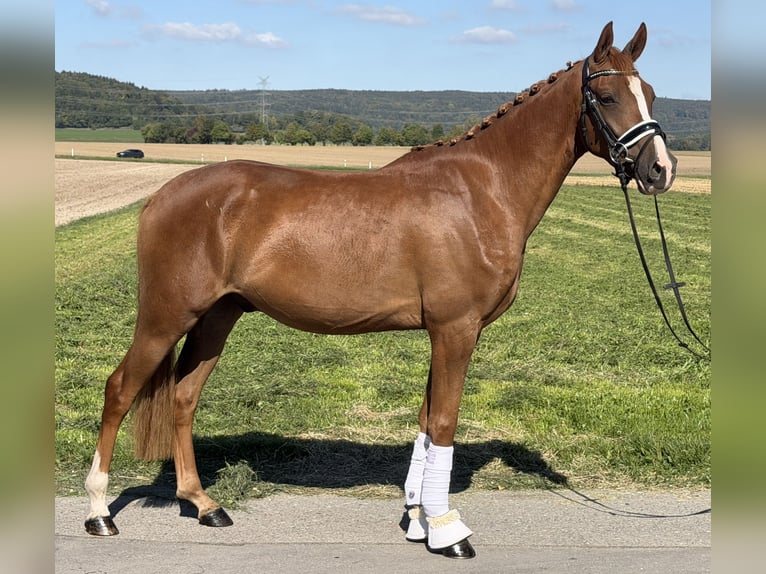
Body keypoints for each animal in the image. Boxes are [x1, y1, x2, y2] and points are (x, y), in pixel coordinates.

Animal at [84, 22, 677, 559]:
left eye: (649, 93)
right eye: (606, 96)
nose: (660, 170)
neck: (480, 191)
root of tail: (163, 195)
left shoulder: (445, 332)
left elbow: (426, 423)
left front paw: (417, 518)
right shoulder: (456, 329)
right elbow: (444, 423)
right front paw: (448, 531)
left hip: (217, 316)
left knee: (184, 396)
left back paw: (204, 505)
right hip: (165, 317)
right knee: (120, 390)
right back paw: (98, 513)